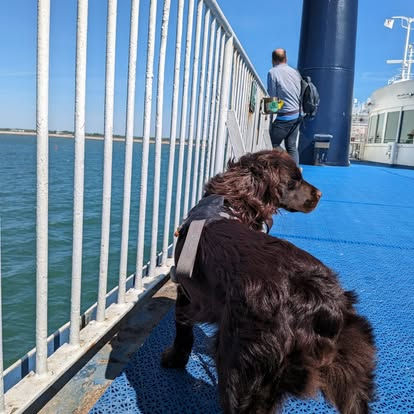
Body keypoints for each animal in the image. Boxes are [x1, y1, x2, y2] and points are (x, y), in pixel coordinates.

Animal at [162, 149, 375, 414]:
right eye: (293, 181)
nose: (320, 194)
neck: (230, 202)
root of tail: (320, 300)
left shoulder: (186, 293)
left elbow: (183, 332)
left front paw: (173, 359)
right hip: (353, 371)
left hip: (241, 369)